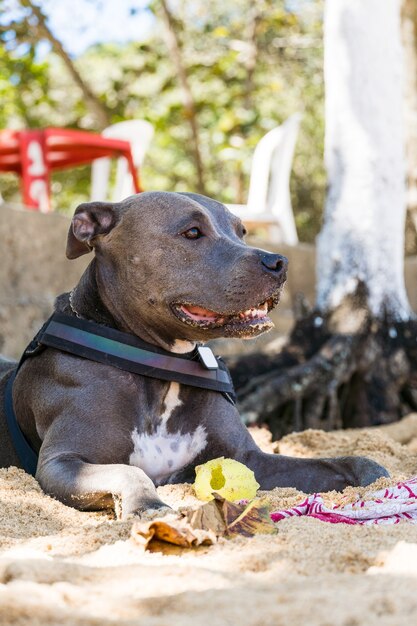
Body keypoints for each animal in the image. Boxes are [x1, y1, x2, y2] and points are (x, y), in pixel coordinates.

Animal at [0, 191, 386, 516]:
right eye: (192, 232)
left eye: (241, 231)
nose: (278, 262)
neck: (160, 368)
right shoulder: (62, 462)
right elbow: (128, 472)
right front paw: (150, 505)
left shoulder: (248, 456)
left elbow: (345, 462)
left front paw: (378, 478)